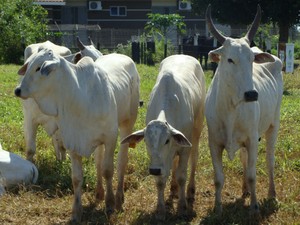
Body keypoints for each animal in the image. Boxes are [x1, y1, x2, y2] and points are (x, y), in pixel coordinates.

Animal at [120, 54, 205, 220]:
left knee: (194, 159)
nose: (154, 170)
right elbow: (160, 181)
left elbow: (182, 176)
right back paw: (173, 188)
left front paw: (182, 207)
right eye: (146, 141)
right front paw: (160, 210)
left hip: (197, 131)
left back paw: (190, 191)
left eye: (166, 140)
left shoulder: (184, 149)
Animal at [205, 5, 282, 215]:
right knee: (244, 159)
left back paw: (272, 194)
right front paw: (217, 208)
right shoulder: (214, 143)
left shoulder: (252, 139)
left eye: (252, 60)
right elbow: (219, 179)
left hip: (273, 125)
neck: (231, 109)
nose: (252, 94)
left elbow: (252, 175)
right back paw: (245, 190)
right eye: (230, 59)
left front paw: (254, 207)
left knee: (270, 160)